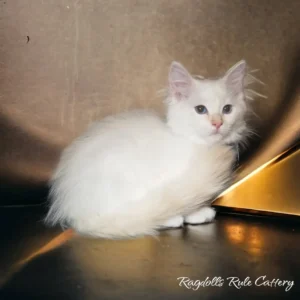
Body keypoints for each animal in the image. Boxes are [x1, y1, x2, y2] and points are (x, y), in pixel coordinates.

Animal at [45, 61, 253, 239]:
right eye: (200, 109)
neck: (199, 147)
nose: (217, 123)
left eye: (227, 109)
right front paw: (195, 213)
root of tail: (75, 210)